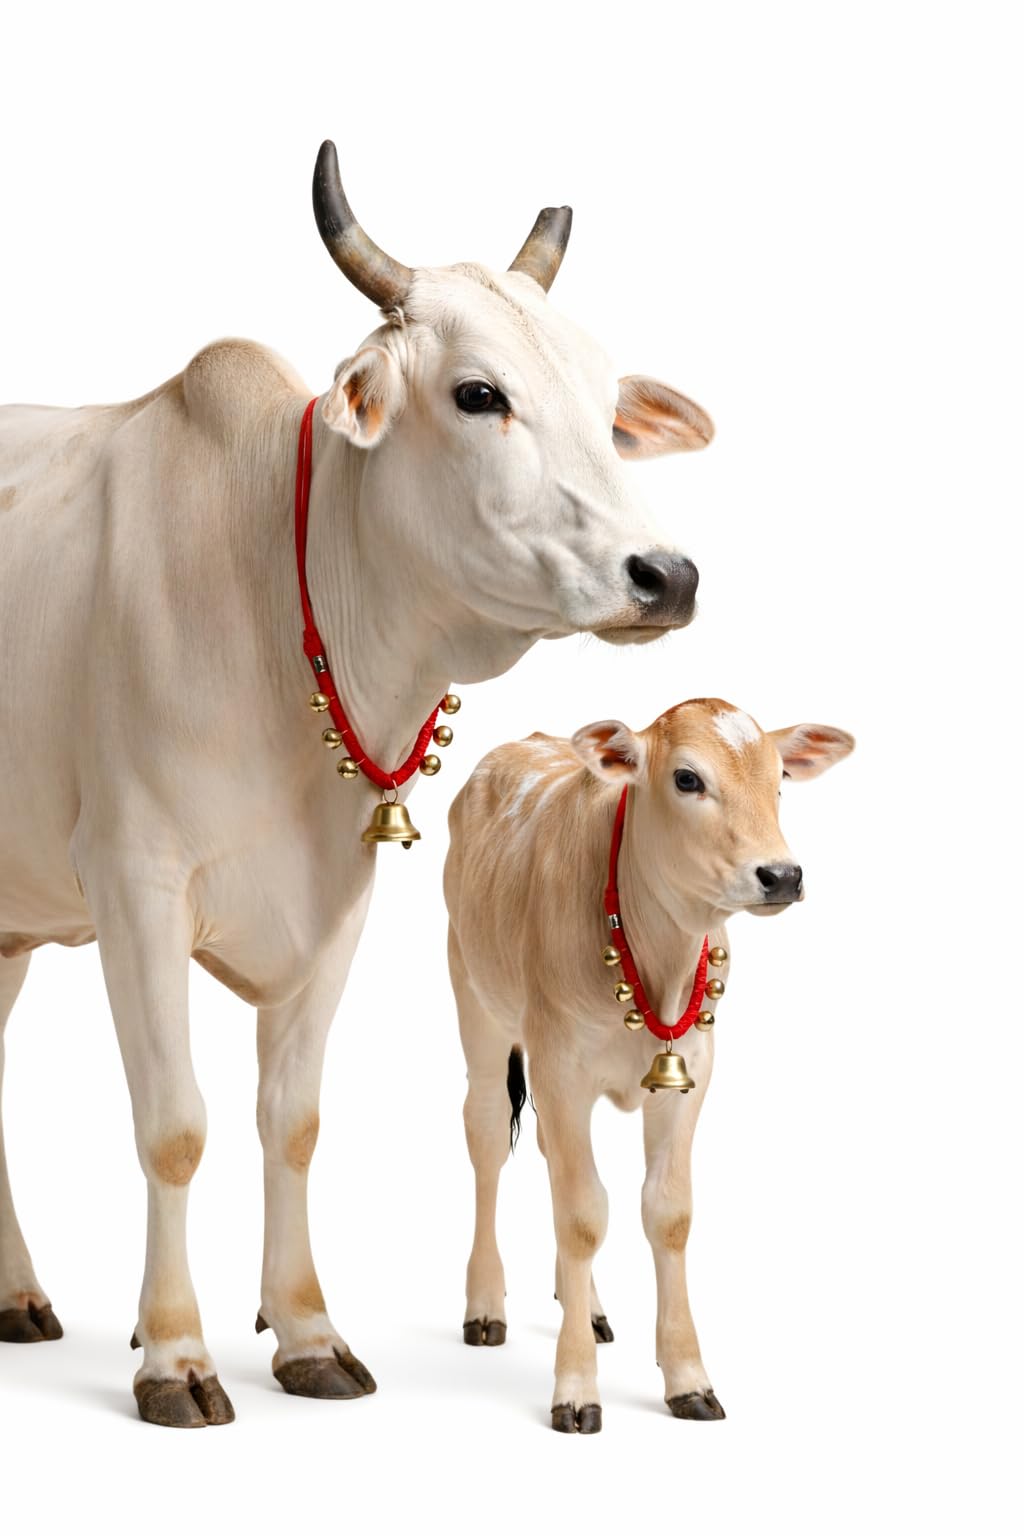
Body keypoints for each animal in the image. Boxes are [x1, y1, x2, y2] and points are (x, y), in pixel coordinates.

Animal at [0, 143, 714, 1427]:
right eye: (478, 395)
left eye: (605, 403)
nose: (665, 575)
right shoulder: (133, 884)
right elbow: (173, 1127)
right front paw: (174, 1353)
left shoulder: (337, 902)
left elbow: (292, 1123)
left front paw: (304, 1333)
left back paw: (19, 1294)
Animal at [444, 699, 854, 1432]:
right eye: (687, 779)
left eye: (780, 776)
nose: (783, 875)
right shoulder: (561, 1067)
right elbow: (583, 1215)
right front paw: (576, 1386)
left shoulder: (690, 1071)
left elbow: (666, 1213)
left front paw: (687, 1376)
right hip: (478, 1006)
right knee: (488, 1141)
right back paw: (486, 1304)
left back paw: (590, 1307)